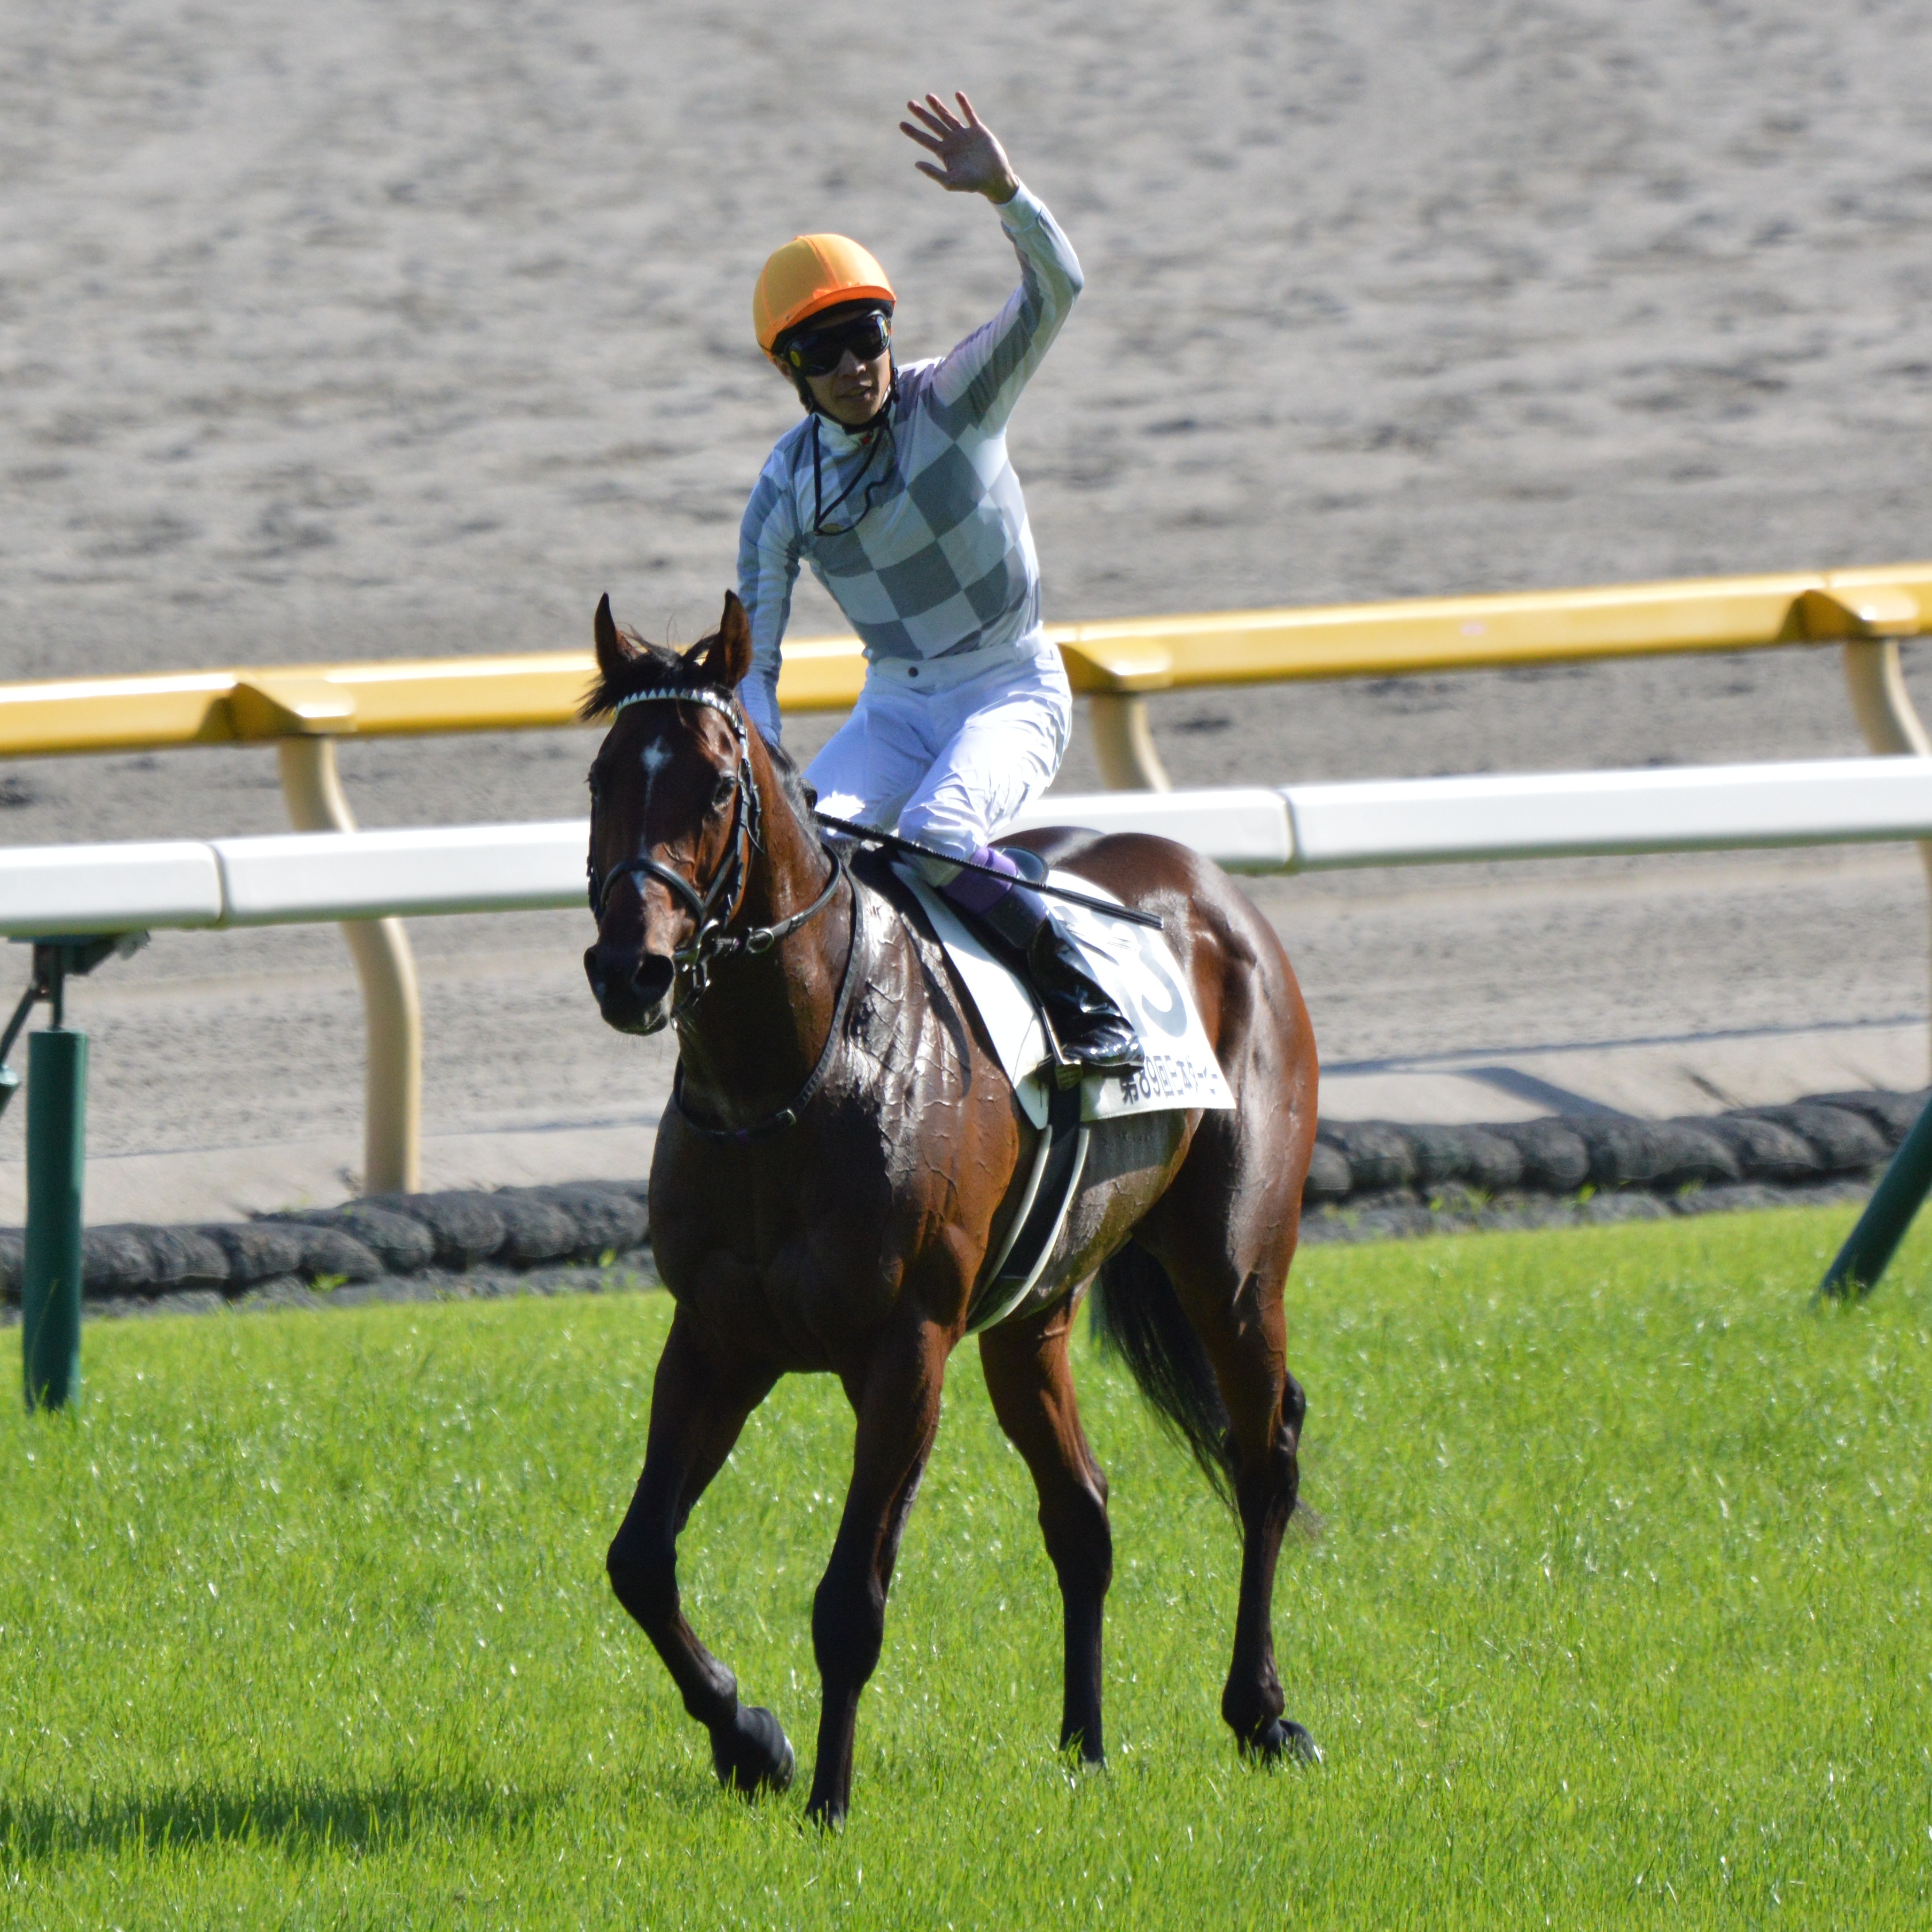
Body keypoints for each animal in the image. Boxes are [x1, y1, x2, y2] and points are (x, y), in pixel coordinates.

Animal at [579, 591, 1321, 1824]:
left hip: (1233, 1261)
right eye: (600, 778)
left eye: (716, 787)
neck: (792, 1077)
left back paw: (1260, 1710)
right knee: (1083, 1508)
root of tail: (1213, 888)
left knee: (1263, 1455)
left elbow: (850, 1596)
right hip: (1033, 1312)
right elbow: (639, 1557)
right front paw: (750, 1738)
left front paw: (829, 1799)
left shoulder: (904, 1343)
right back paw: (1083, 1740)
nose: (628, 969)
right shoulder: (717, 1334)